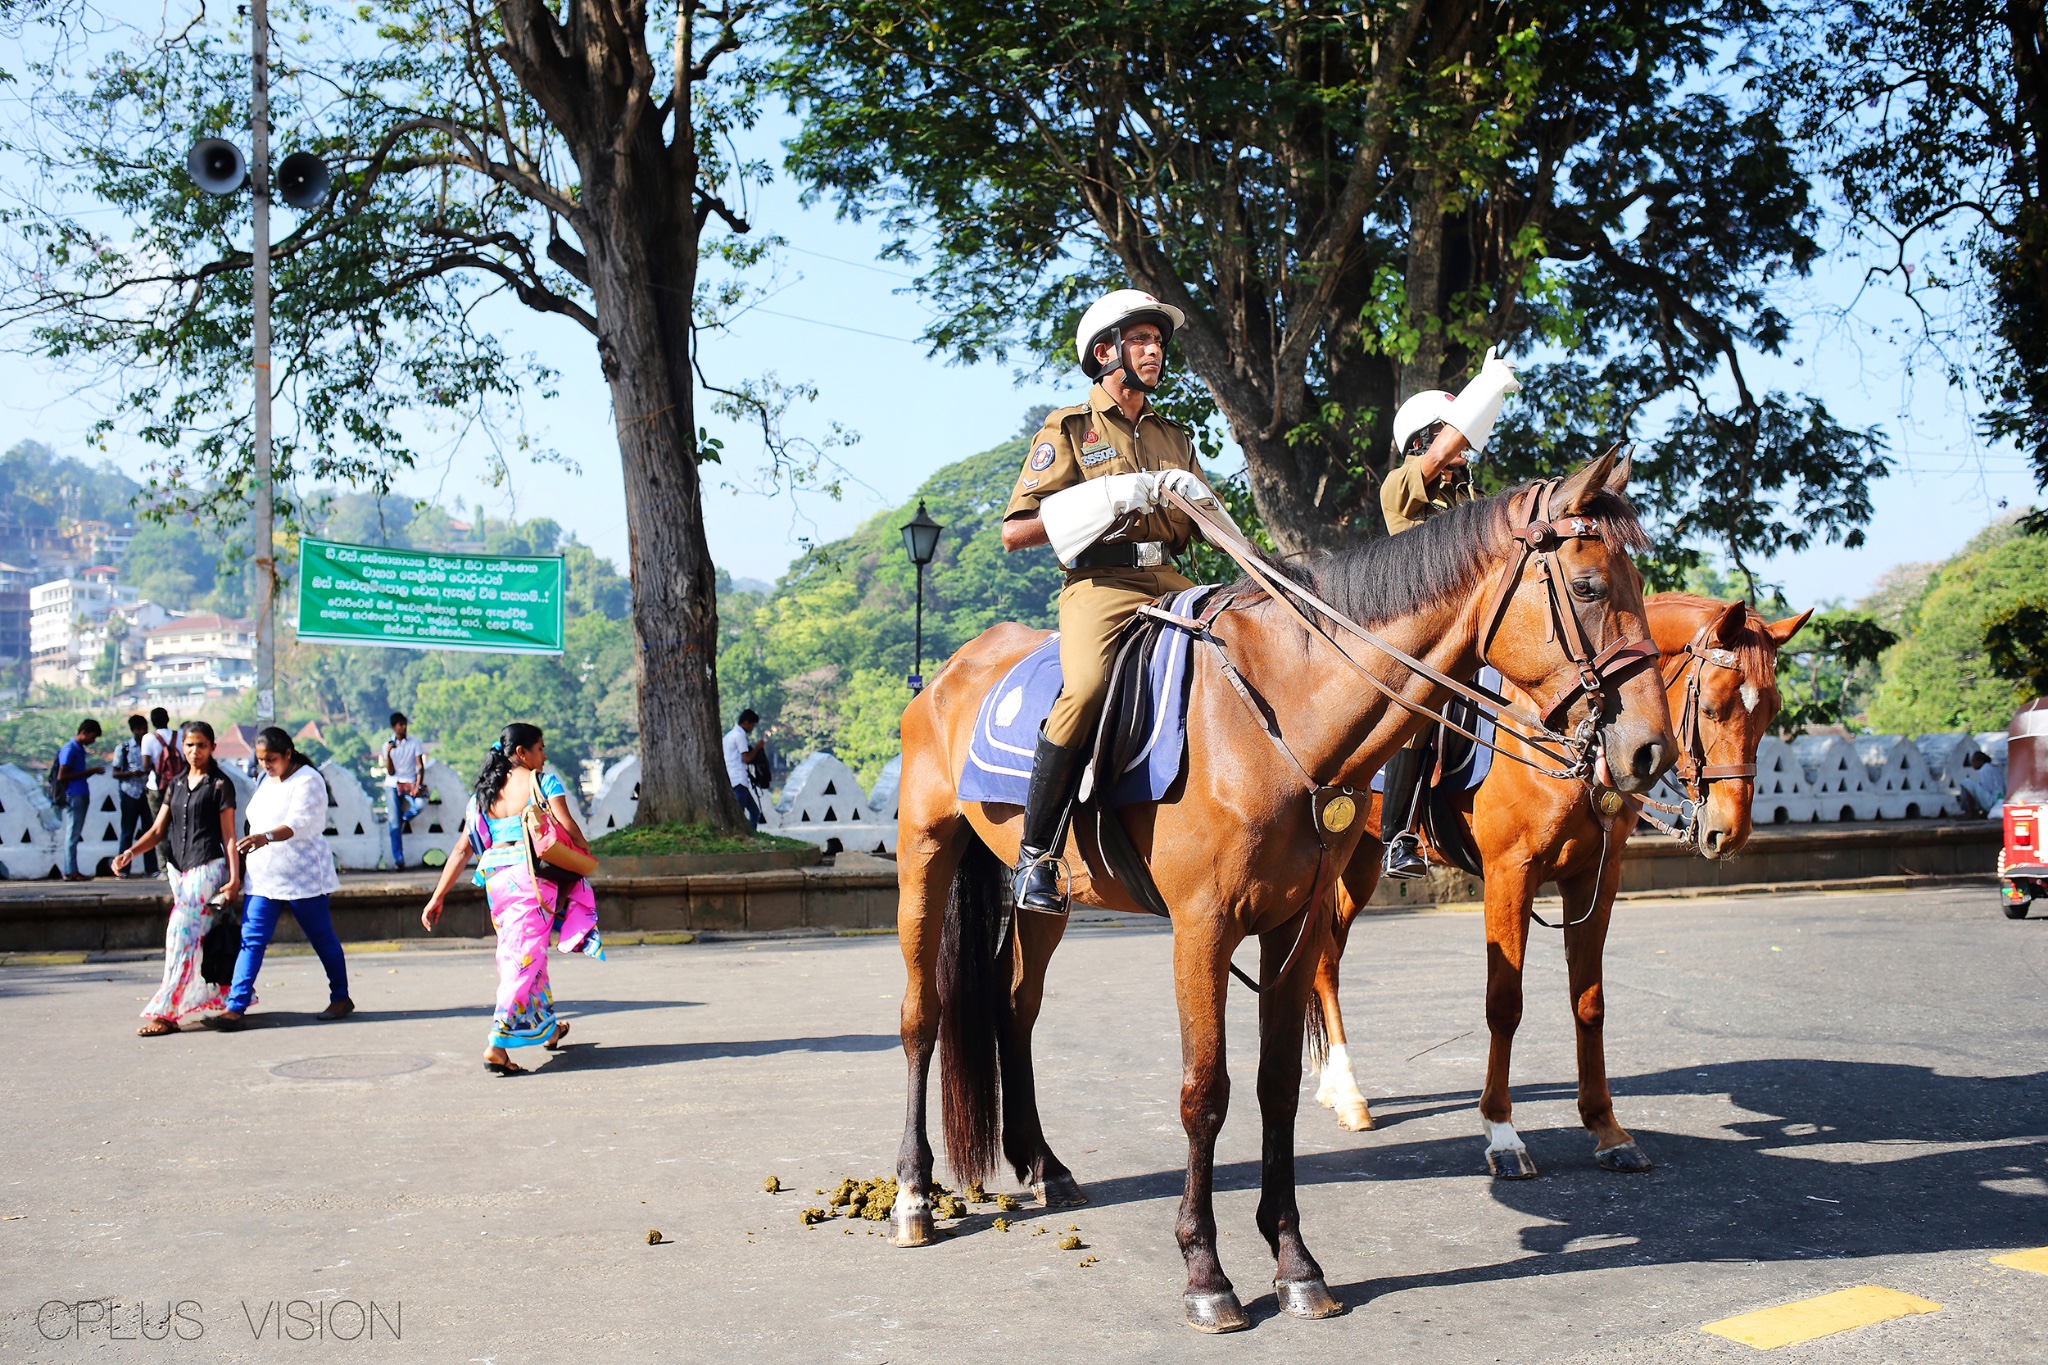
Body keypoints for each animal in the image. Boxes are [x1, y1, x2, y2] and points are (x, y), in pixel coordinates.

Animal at [888, 454, 1671, 1326]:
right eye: (1590, 585)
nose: (1649, 751)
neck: (1278, 714)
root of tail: (950, 670)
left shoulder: (1292, 923)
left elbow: (1276, 1086)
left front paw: (1295, 1260)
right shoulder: (1202, 929)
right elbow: (1205, 1090)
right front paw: (1205, 1270)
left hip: (1050, 900)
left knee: (1014, 1004)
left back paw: (1043, 1164)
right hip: (926, 854)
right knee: (922, 1015)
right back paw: (914, 1194)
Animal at [1310, 593, 1810, 1178]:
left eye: (1772, 708)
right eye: (1710, 706)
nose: (1728, 831)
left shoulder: (1595, 876)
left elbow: (1589, 1002)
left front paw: (1607, 1128)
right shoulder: (1511, 873)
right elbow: (1505, 1003)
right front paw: (1502, 1133)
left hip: (1358, 862)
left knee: (1324, 958)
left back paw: (1332, 1085)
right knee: (1324, 963)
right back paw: (1349, 1092)